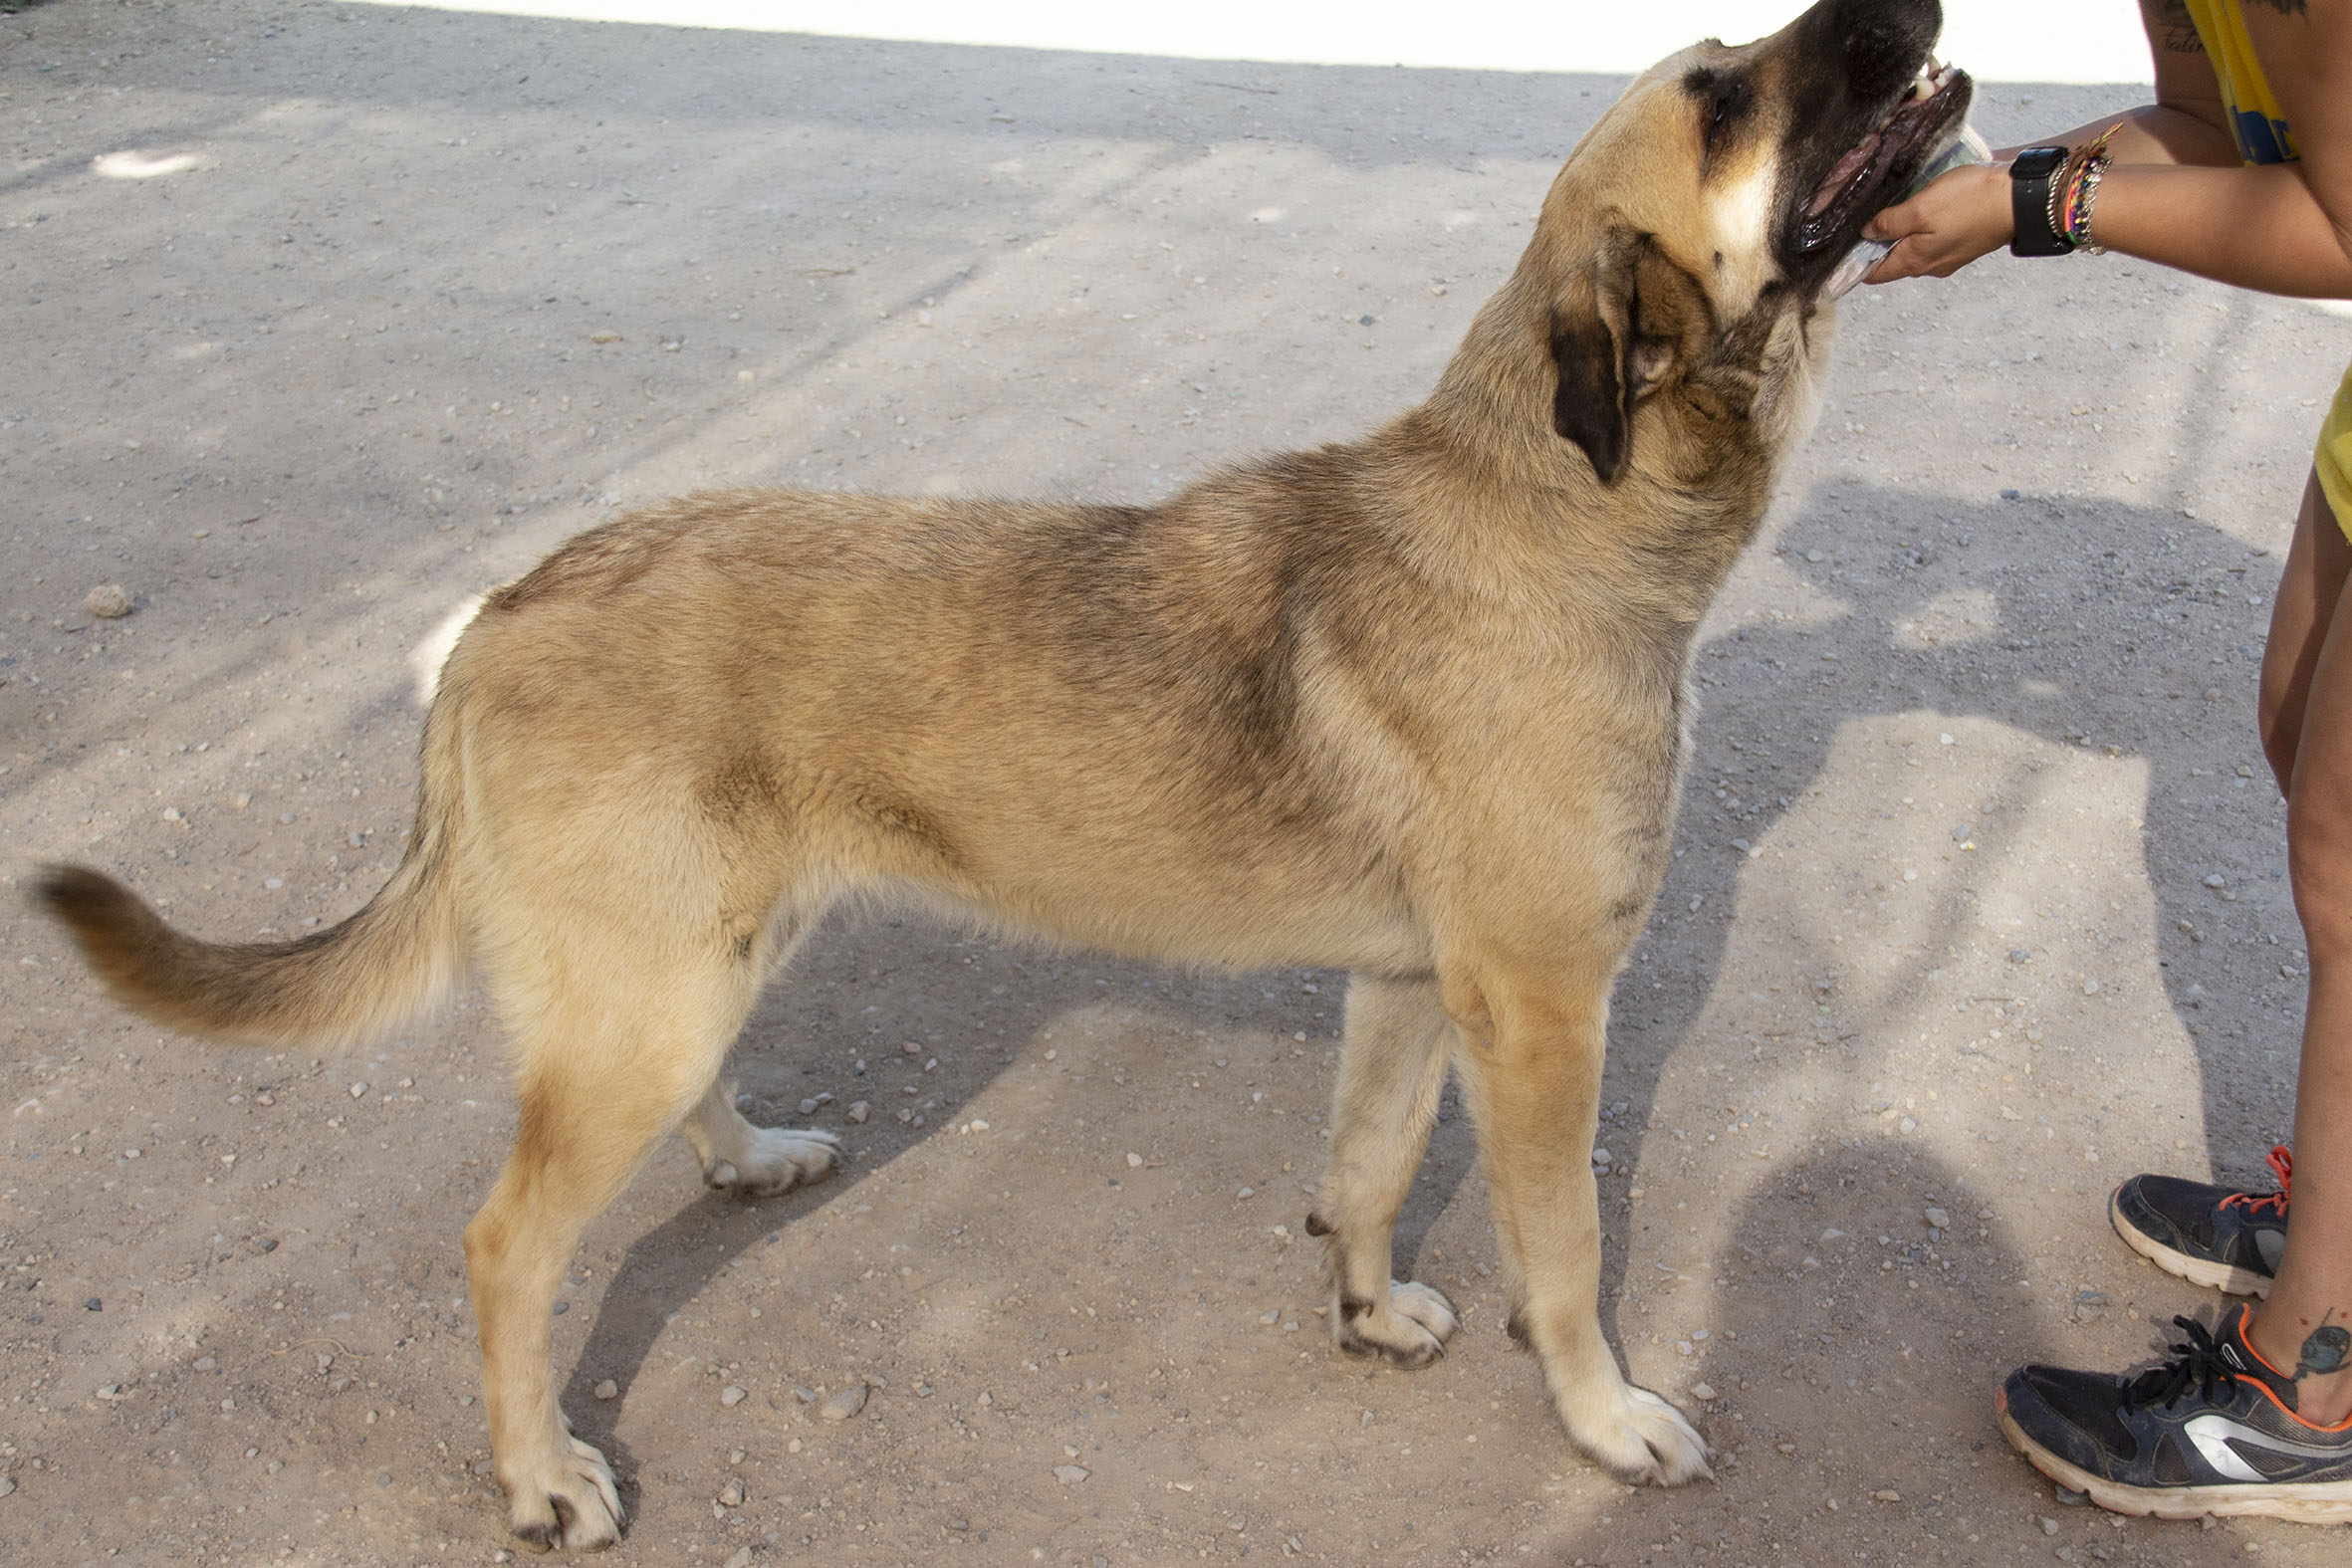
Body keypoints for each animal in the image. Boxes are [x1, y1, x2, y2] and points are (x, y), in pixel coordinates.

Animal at [35, 0, 1970, 1548]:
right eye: (1720, 94)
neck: (1552, 510)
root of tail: (501, 610)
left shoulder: (1412, 990)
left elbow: (1362, 1167)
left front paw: (1362, 1306)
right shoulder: (1543, 1016)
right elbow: (1560, 1255)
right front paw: (1600, 1417)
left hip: (698, 963)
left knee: (668, 1106)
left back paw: (747, 1157)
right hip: (650, 996)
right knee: (506, 1244)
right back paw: (535, 1474)